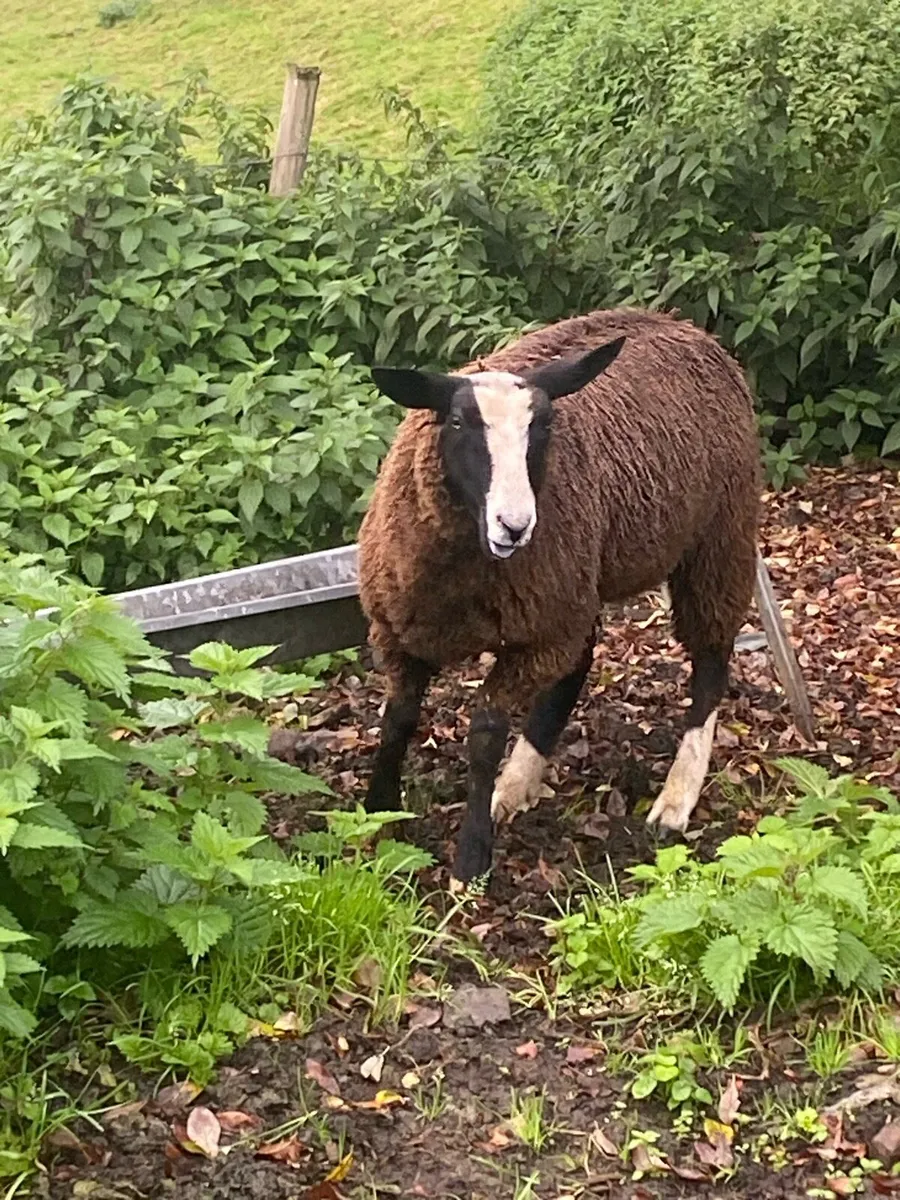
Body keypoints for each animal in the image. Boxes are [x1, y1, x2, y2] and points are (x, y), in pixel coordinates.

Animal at [357, 308, 760, 887]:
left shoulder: (536, 634)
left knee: (710, 654)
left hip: (717, 536)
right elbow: (398, 719)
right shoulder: (398, 630)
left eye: (543, 426)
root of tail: (681, 324)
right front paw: (376, 815)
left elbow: (484, 735)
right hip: (576, 584)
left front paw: (471, 860)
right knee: (580, 658)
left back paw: (675, 797)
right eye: (457, 423)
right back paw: (518, 782)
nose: (515, 525)